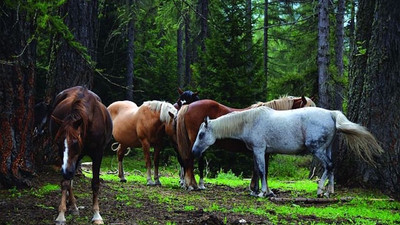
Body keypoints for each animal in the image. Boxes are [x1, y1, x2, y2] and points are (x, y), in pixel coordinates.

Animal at [50, 85, 112, 223]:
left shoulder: (98, 154)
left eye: (75, 143)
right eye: (58, 142)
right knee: (70, 180)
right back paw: (72, 205)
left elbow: (95, 183)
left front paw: (96, 215)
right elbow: (66, 182)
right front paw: (61, 214)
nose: (65, 171)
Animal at [192, 107, 382, 197]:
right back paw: (329, 192)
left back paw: (320, 190)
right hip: (326, 149)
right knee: (332, 167)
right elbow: (260, 171)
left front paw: (262, 193)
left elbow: (261, 171)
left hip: (317, 149)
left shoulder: (260, 150)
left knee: (329, 166)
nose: (194, 151)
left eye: (201, 134)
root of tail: (331, 113)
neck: (250, 121)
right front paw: (262, 191)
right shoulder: (258, 152)